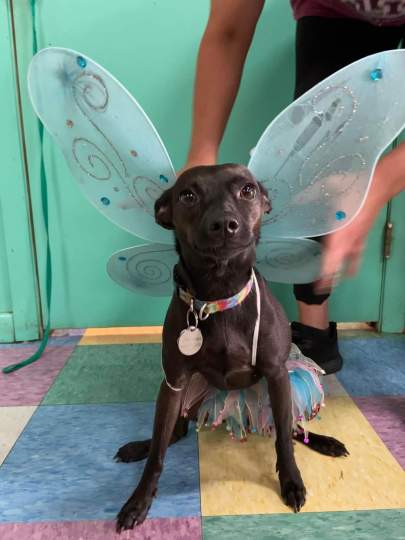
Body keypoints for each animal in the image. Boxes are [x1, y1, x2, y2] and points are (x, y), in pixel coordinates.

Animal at [114, 163, 348, 532]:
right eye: (187, 195)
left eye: (247, 190)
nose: (224, 223)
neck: (218, 292)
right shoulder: (174, 381)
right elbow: (158, 456)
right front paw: (138, 501)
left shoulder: (276, 374)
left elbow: (283, 441)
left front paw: (292, 483)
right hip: (182, 395)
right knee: (173, 433)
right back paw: (141, 445)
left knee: (291, 429)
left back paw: (326, 443)